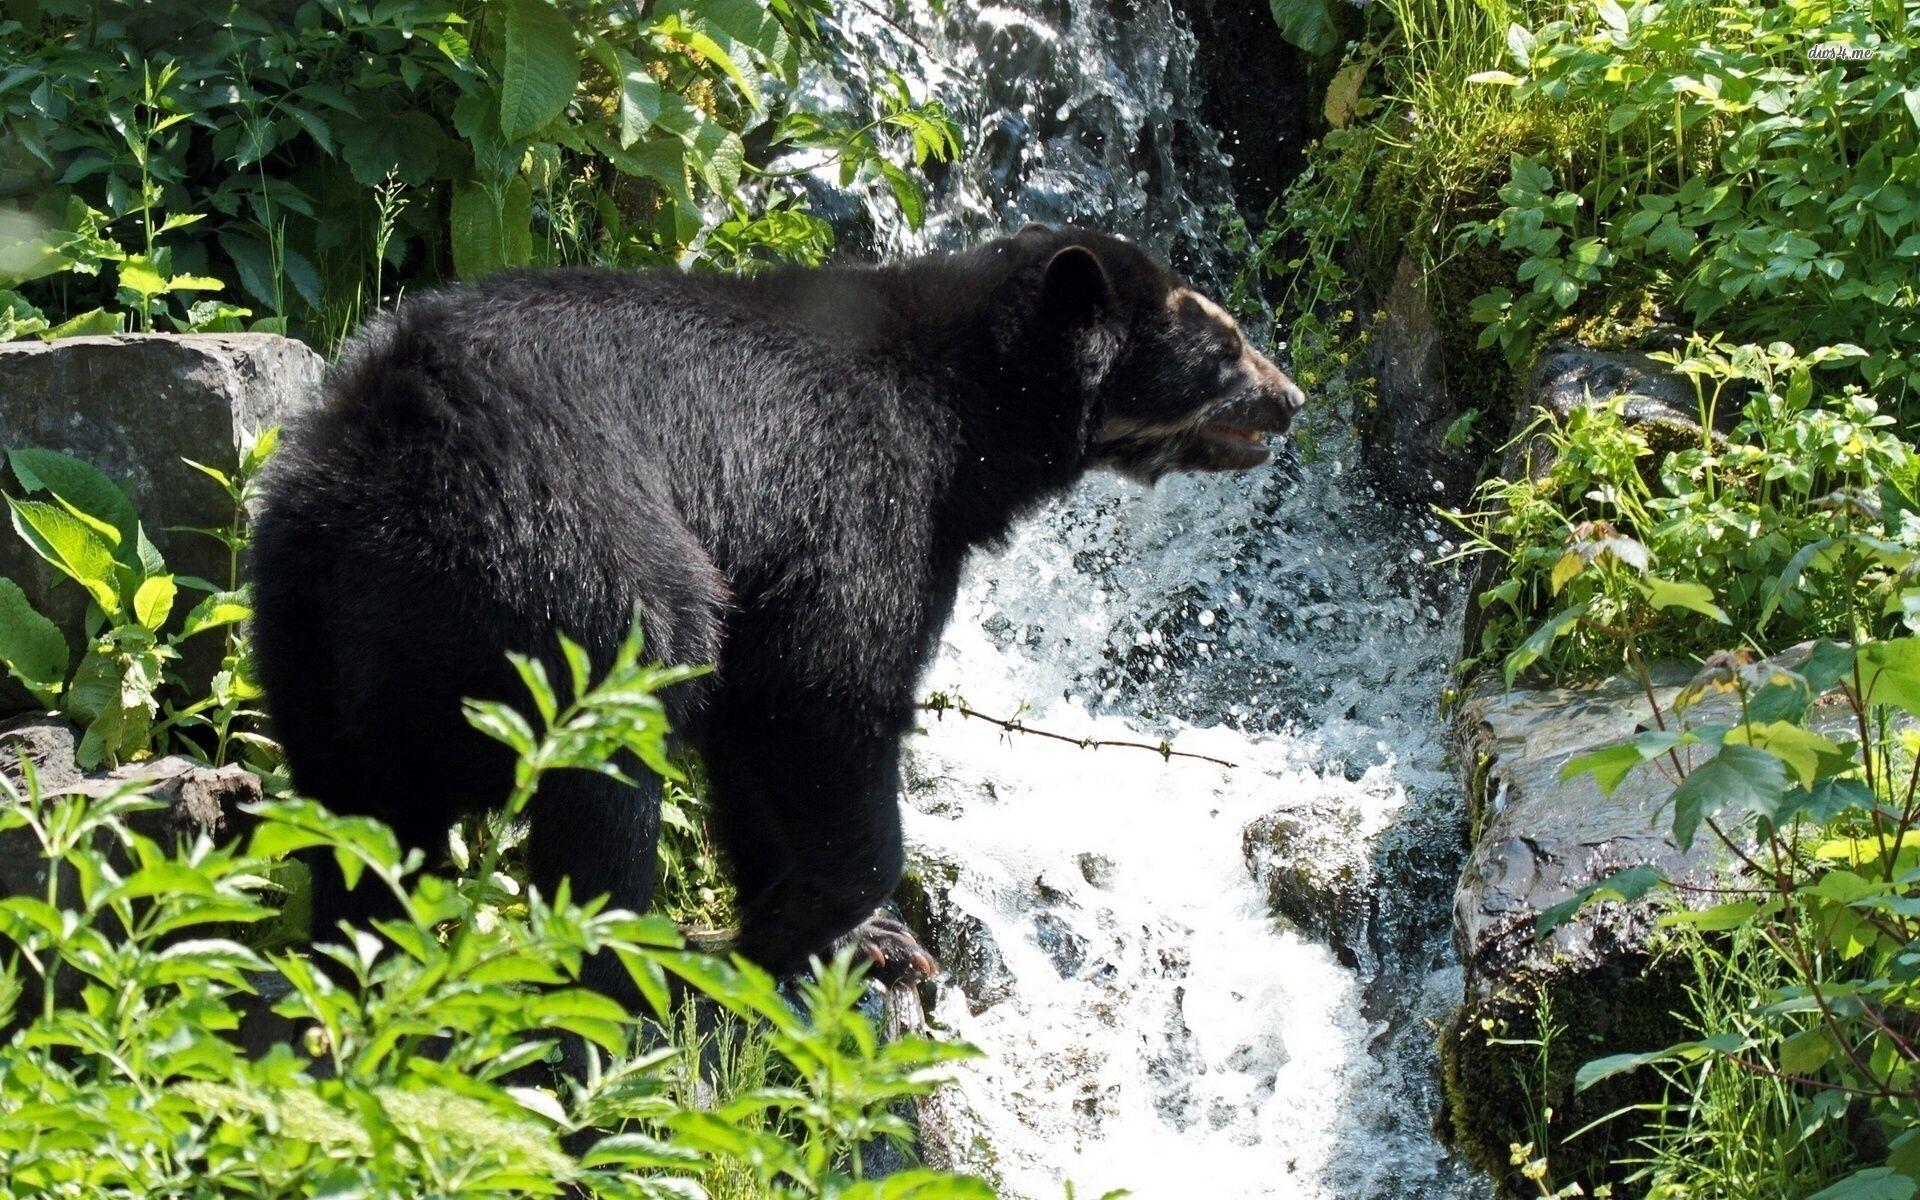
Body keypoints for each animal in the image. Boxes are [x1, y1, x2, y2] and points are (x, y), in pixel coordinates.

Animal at [248, 222, 1304, 986]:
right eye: (1225, 344)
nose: (1291, 399)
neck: (967, 417)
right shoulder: (857, 496)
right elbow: (827, 690)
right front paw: (819, 924)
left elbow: (754, 741)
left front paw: (852, 936)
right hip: (578, 570)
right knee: (608, 773)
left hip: (305, 627)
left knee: (366, 823)